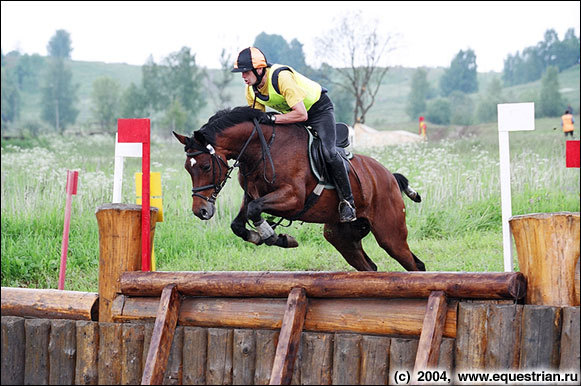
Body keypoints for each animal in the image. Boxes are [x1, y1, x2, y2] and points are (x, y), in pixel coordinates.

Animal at [173, 105, 426, 272]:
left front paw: (274, 235)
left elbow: (256, 210)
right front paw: (269, 237)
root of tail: (389, 177)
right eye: (187, 168)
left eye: (205, 166)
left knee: (415, 265)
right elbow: (239, 223)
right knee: (369, 267)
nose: (200, 211)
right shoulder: (252, 195)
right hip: (342, 237)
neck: (262, 148)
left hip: (389, 234)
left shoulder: (293, 199)